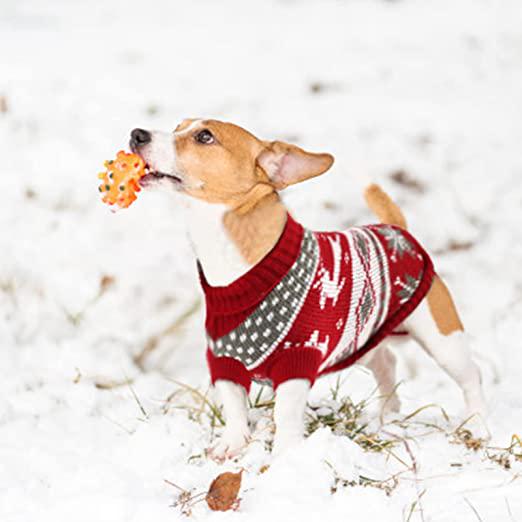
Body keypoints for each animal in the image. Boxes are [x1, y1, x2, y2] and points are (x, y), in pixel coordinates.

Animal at [128, 120, 486, 458]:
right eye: (177, 126)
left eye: (204, 136)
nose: (136, 134)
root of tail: (398, 229)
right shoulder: (224, 362)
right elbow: (234, 406)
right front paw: (232, 444)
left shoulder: (297, 362)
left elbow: (286, 413)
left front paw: (285, 454)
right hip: (362, 339)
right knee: (386, 362)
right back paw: (388, 414)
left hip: (442, 339)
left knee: (471, 378)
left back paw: (477, 424)